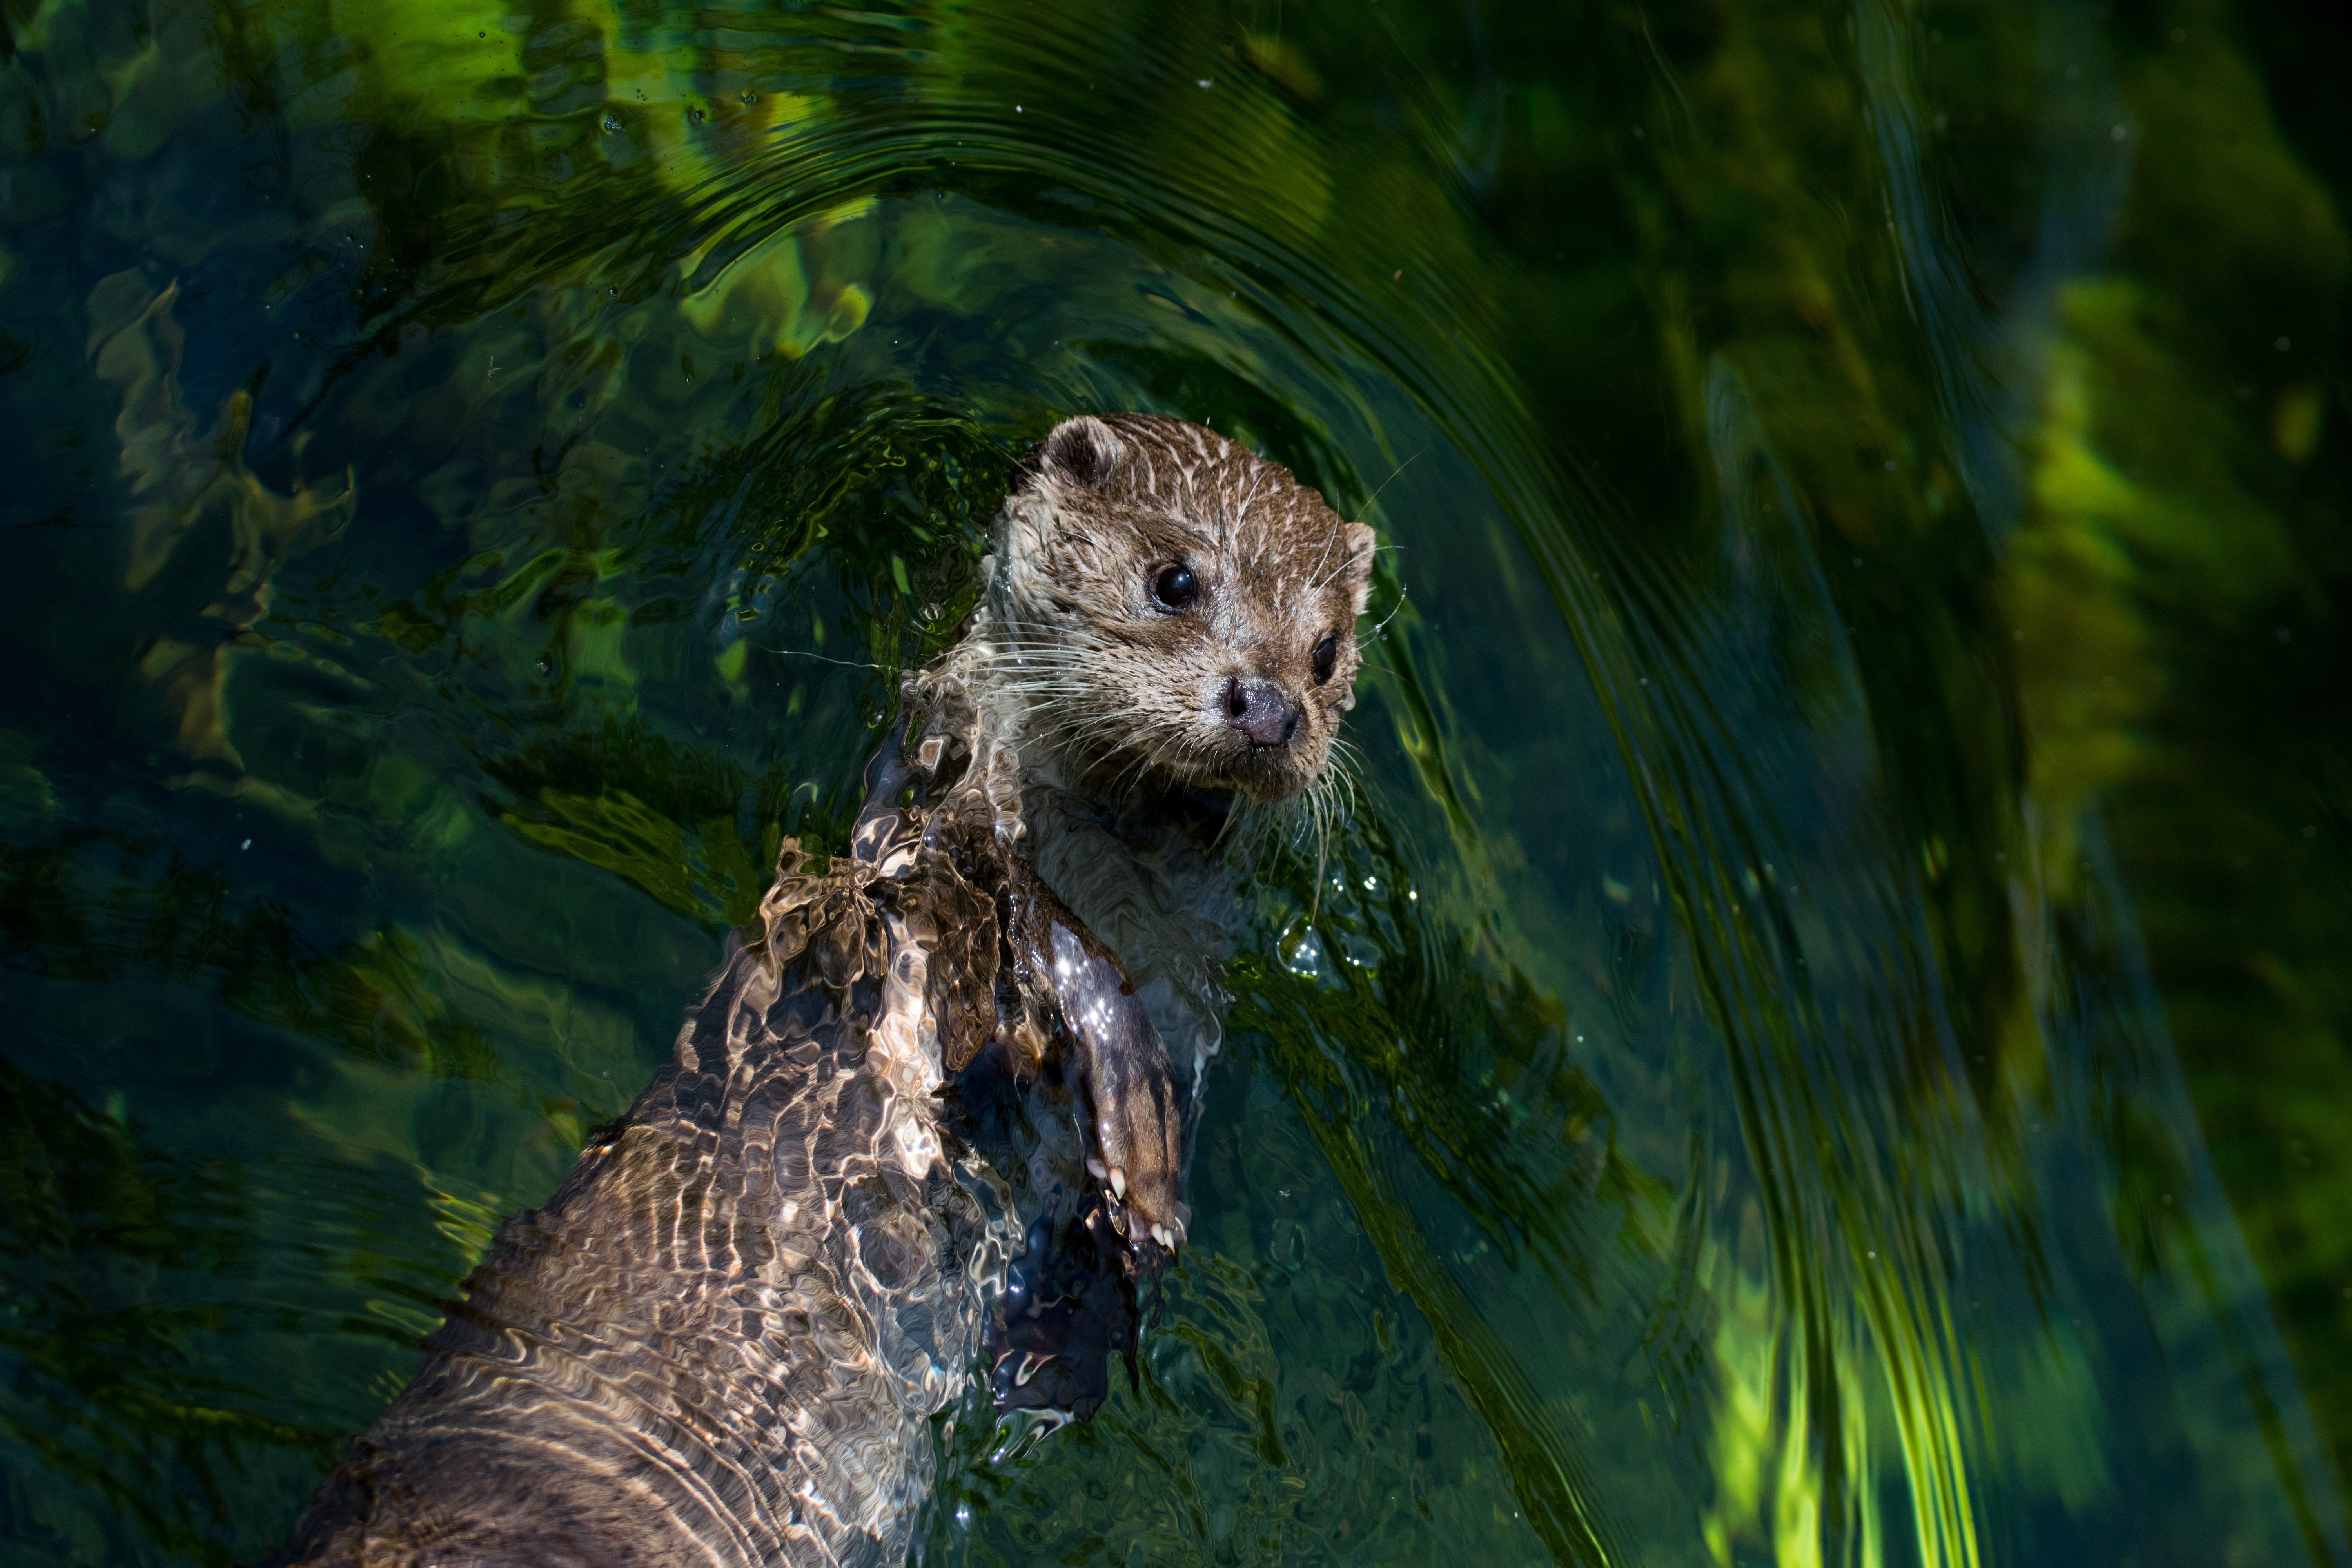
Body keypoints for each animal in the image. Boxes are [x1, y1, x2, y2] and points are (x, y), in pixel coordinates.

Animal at [275, 411, 1374, 1561]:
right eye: (1175, 580)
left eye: (1327, 651)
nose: (1271, 707)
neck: (1107, 873)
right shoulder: (934, 869)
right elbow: (1051, 970)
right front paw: (1133, 1143)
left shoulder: (1187, 999)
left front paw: (1066, 1339)